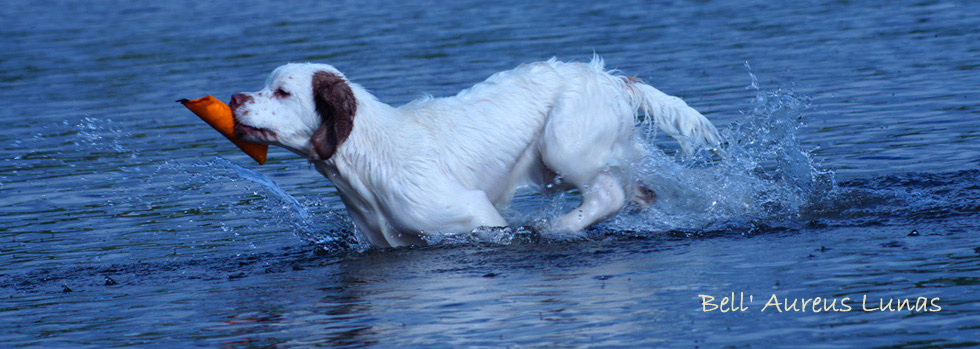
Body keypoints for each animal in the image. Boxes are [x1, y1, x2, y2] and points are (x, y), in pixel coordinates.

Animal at [230, 57, 720, 246]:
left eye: (283, 91)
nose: (234, 98)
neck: (366, 156)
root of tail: (615, 80)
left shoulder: (475, 215)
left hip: (562, 145)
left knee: (607, 196)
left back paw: (555, 227)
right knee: (636, 190)